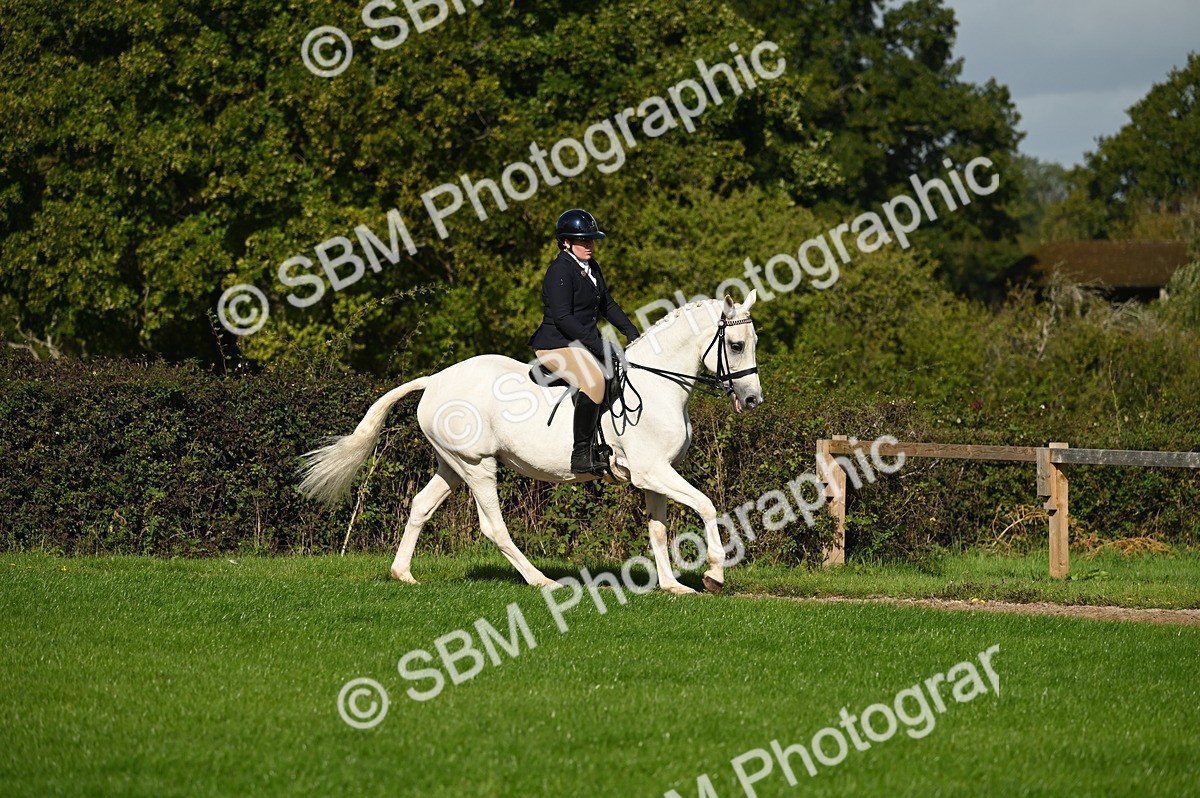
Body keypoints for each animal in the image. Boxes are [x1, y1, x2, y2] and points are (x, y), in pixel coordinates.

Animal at [298, 291, 764, 595]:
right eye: (736, 344)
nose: (752, 400)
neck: (658, 384)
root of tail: (435, 380)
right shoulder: (653, 471)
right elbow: (706, 505)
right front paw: (714, 576)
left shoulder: (655, 475)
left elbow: (658, 527)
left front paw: (671, 586)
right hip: (477, 465)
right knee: (493, 526)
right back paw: (540, 580)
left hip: (451, 465)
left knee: (420, 507)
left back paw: (403, 574)